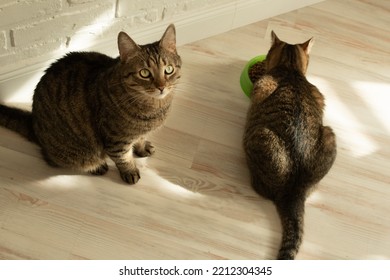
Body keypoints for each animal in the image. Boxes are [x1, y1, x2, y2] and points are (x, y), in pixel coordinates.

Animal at [0, 24, 183, 185]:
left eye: (168, 69)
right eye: (144, 73)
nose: (161, 87)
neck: (154, 107)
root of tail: (34, 125)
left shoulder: (137, 132)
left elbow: (140, 138)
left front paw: (142, 147)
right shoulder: (115, 139)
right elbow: (123, 158)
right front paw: (130, 171)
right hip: (74, 153)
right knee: (57, 160)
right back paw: (96, 166)